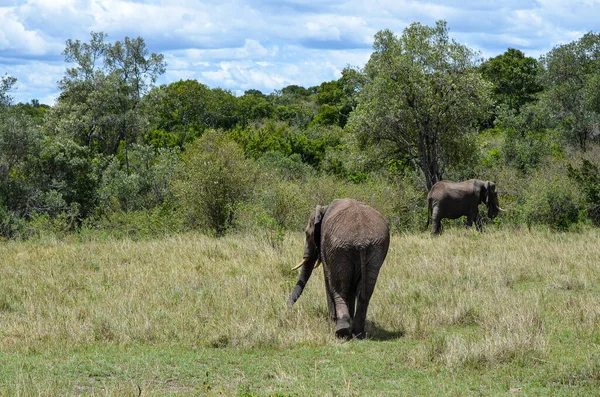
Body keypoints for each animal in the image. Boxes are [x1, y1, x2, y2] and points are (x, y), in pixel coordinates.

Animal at [288, 198, 392, 338]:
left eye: (307, 234)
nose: (287, 307)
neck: (324, 208)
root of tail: (362, 241)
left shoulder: (326, 246)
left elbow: (327, 278)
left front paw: (332, 320)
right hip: (375, 249)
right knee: (365, 290)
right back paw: (358, 333)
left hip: (338, 249)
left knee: (339, 286)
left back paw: (341, 330)